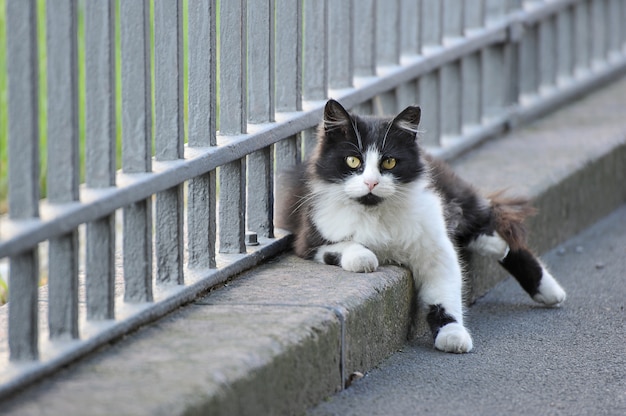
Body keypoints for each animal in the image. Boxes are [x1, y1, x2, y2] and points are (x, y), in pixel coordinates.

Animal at [276, 99, 564, 352]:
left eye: (389, 162)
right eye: (353, 161)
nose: (371, 183)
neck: (375, 212)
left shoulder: (436, 250)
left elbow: (445, 296)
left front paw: (452, 335)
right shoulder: (308, 240)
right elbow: (346, 246)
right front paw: (365, 259)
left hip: (457, 196)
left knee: (496, 227)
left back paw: (548, 289)